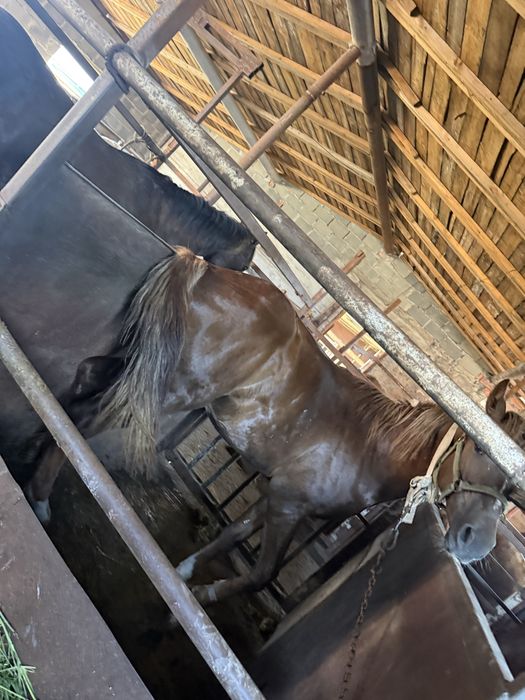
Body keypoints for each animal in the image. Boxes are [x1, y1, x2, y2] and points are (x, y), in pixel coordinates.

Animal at [26, 248, 525, 604]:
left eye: (515, 490)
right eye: (481, 448)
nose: (475, 545)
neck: (368, 448)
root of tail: (203, 267)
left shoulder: (273, 492)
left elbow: (232, 534)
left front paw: (186, 572)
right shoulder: (288, 504)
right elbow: (262, 574)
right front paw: (206, 593)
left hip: (137, 364)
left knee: (85, 378)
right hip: (170, 390)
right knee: (93, 416)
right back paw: (41, 497)